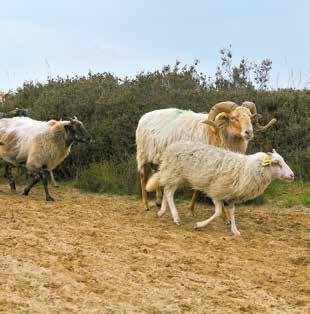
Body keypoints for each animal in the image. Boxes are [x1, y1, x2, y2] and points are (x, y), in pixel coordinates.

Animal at [136, 102, 276, 212]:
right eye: (233, 118)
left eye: (250, 118)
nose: (249, 132)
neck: (215, 132)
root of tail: (145, 116)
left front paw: (191, 208)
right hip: (143, 154)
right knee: (143, 177)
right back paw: (145, 205)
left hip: (158, 158)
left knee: (156, 174)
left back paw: (158, 202)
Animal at [147, 142, 294, 236]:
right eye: (276, 163)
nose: (292, 175)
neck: (247, 168)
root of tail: (172, 146)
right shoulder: (216, 192)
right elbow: (218, 212)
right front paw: (199, 225)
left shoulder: (232, 196)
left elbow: (233, 212)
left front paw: (235, 230)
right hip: (175, 173)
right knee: (169, 193)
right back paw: (176, 217)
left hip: (177, 176)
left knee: (166, 190)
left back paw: (162, 212)